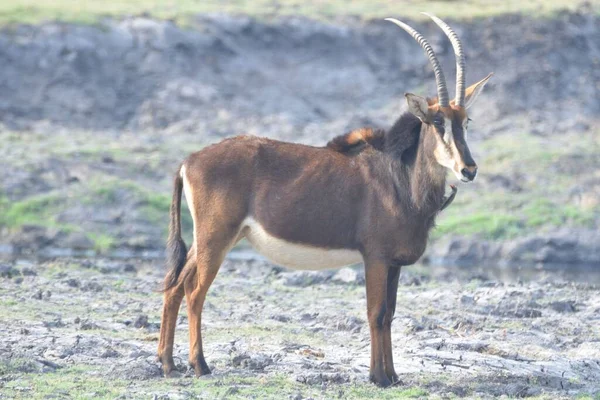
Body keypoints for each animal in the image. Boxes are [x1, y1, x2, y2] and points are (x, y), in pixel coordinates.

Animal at [158, 14, 492, 386]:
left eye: (465, 121)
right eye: (436, 121)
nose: (468, 169)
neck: (400, 178)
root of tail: (189, 161)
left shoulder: (393, 263)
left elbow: (390, 313)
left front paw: (392, 375)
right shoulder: (375, 257)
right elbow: (376, 313)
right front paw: (378, 376)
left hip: (208, 240)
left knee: (175, 286)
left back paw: (168, 364)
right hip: (216, 238)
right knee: (195, 292)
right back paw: (200, 365)